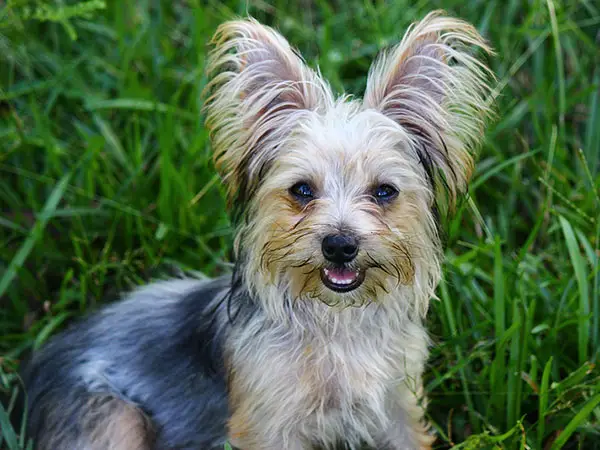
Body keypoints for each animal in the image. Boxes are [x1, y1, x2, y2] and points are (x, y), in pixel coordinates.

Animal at [21, 10, 494, 450]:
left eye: (384, 192)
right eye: (301, 190)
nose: (340, 245)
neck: (334, 320)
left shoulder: (399, 406)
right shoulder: (268, 425)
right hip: (115, 419)